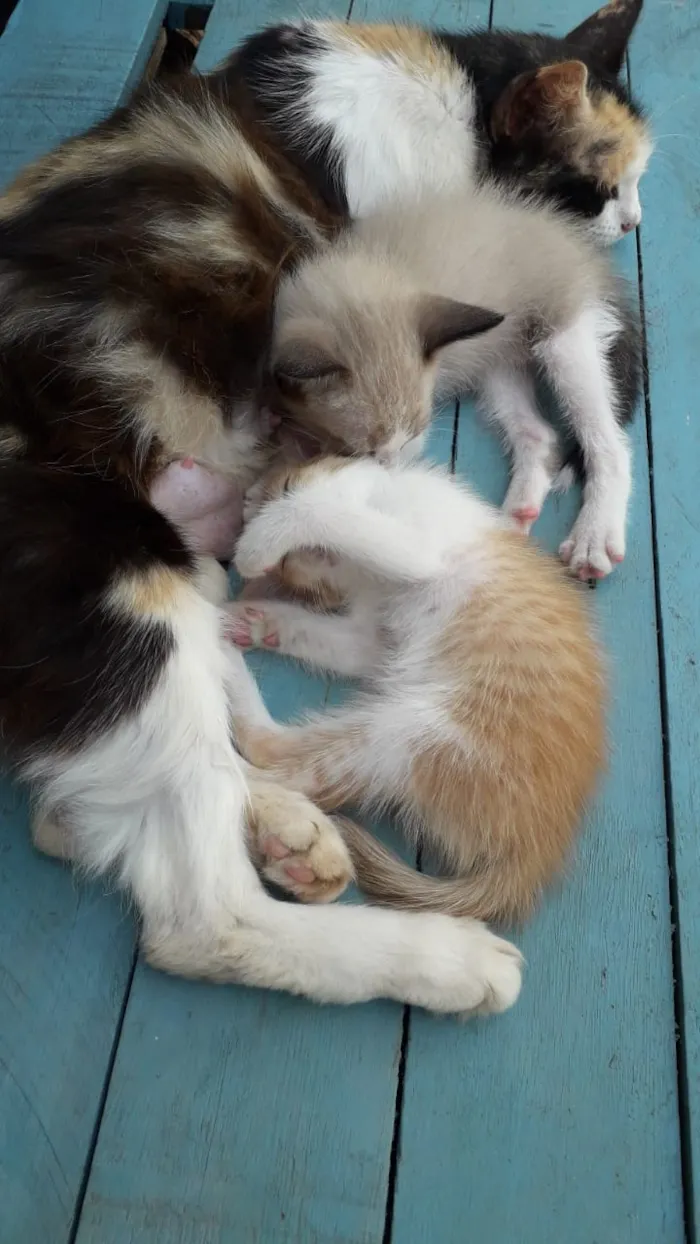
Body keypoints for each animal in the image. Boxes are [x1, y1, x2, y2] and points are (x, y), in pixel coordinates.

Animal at [226, 457, 609, 925]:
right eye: (290, 571)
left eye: (285, 487)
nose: (300, 558)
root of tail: (536, 849)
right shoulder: (369, 639)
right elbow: (331, 638)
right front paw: (258, 619)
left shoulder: (421, 546)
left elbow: (326, 512)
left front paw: (259, 542)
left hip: (427, 729)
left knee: (277, 757)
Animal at [267, 181, 641, 579]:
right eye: (360, 450)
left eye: (414, 434)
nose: (388, 471)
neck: (374, 268)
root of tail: (576, 244)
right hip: (495, 359)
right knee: (539, 435)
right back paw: (515, 516)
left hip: (562, 339)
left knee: (610, 443)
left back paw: (594, 535)